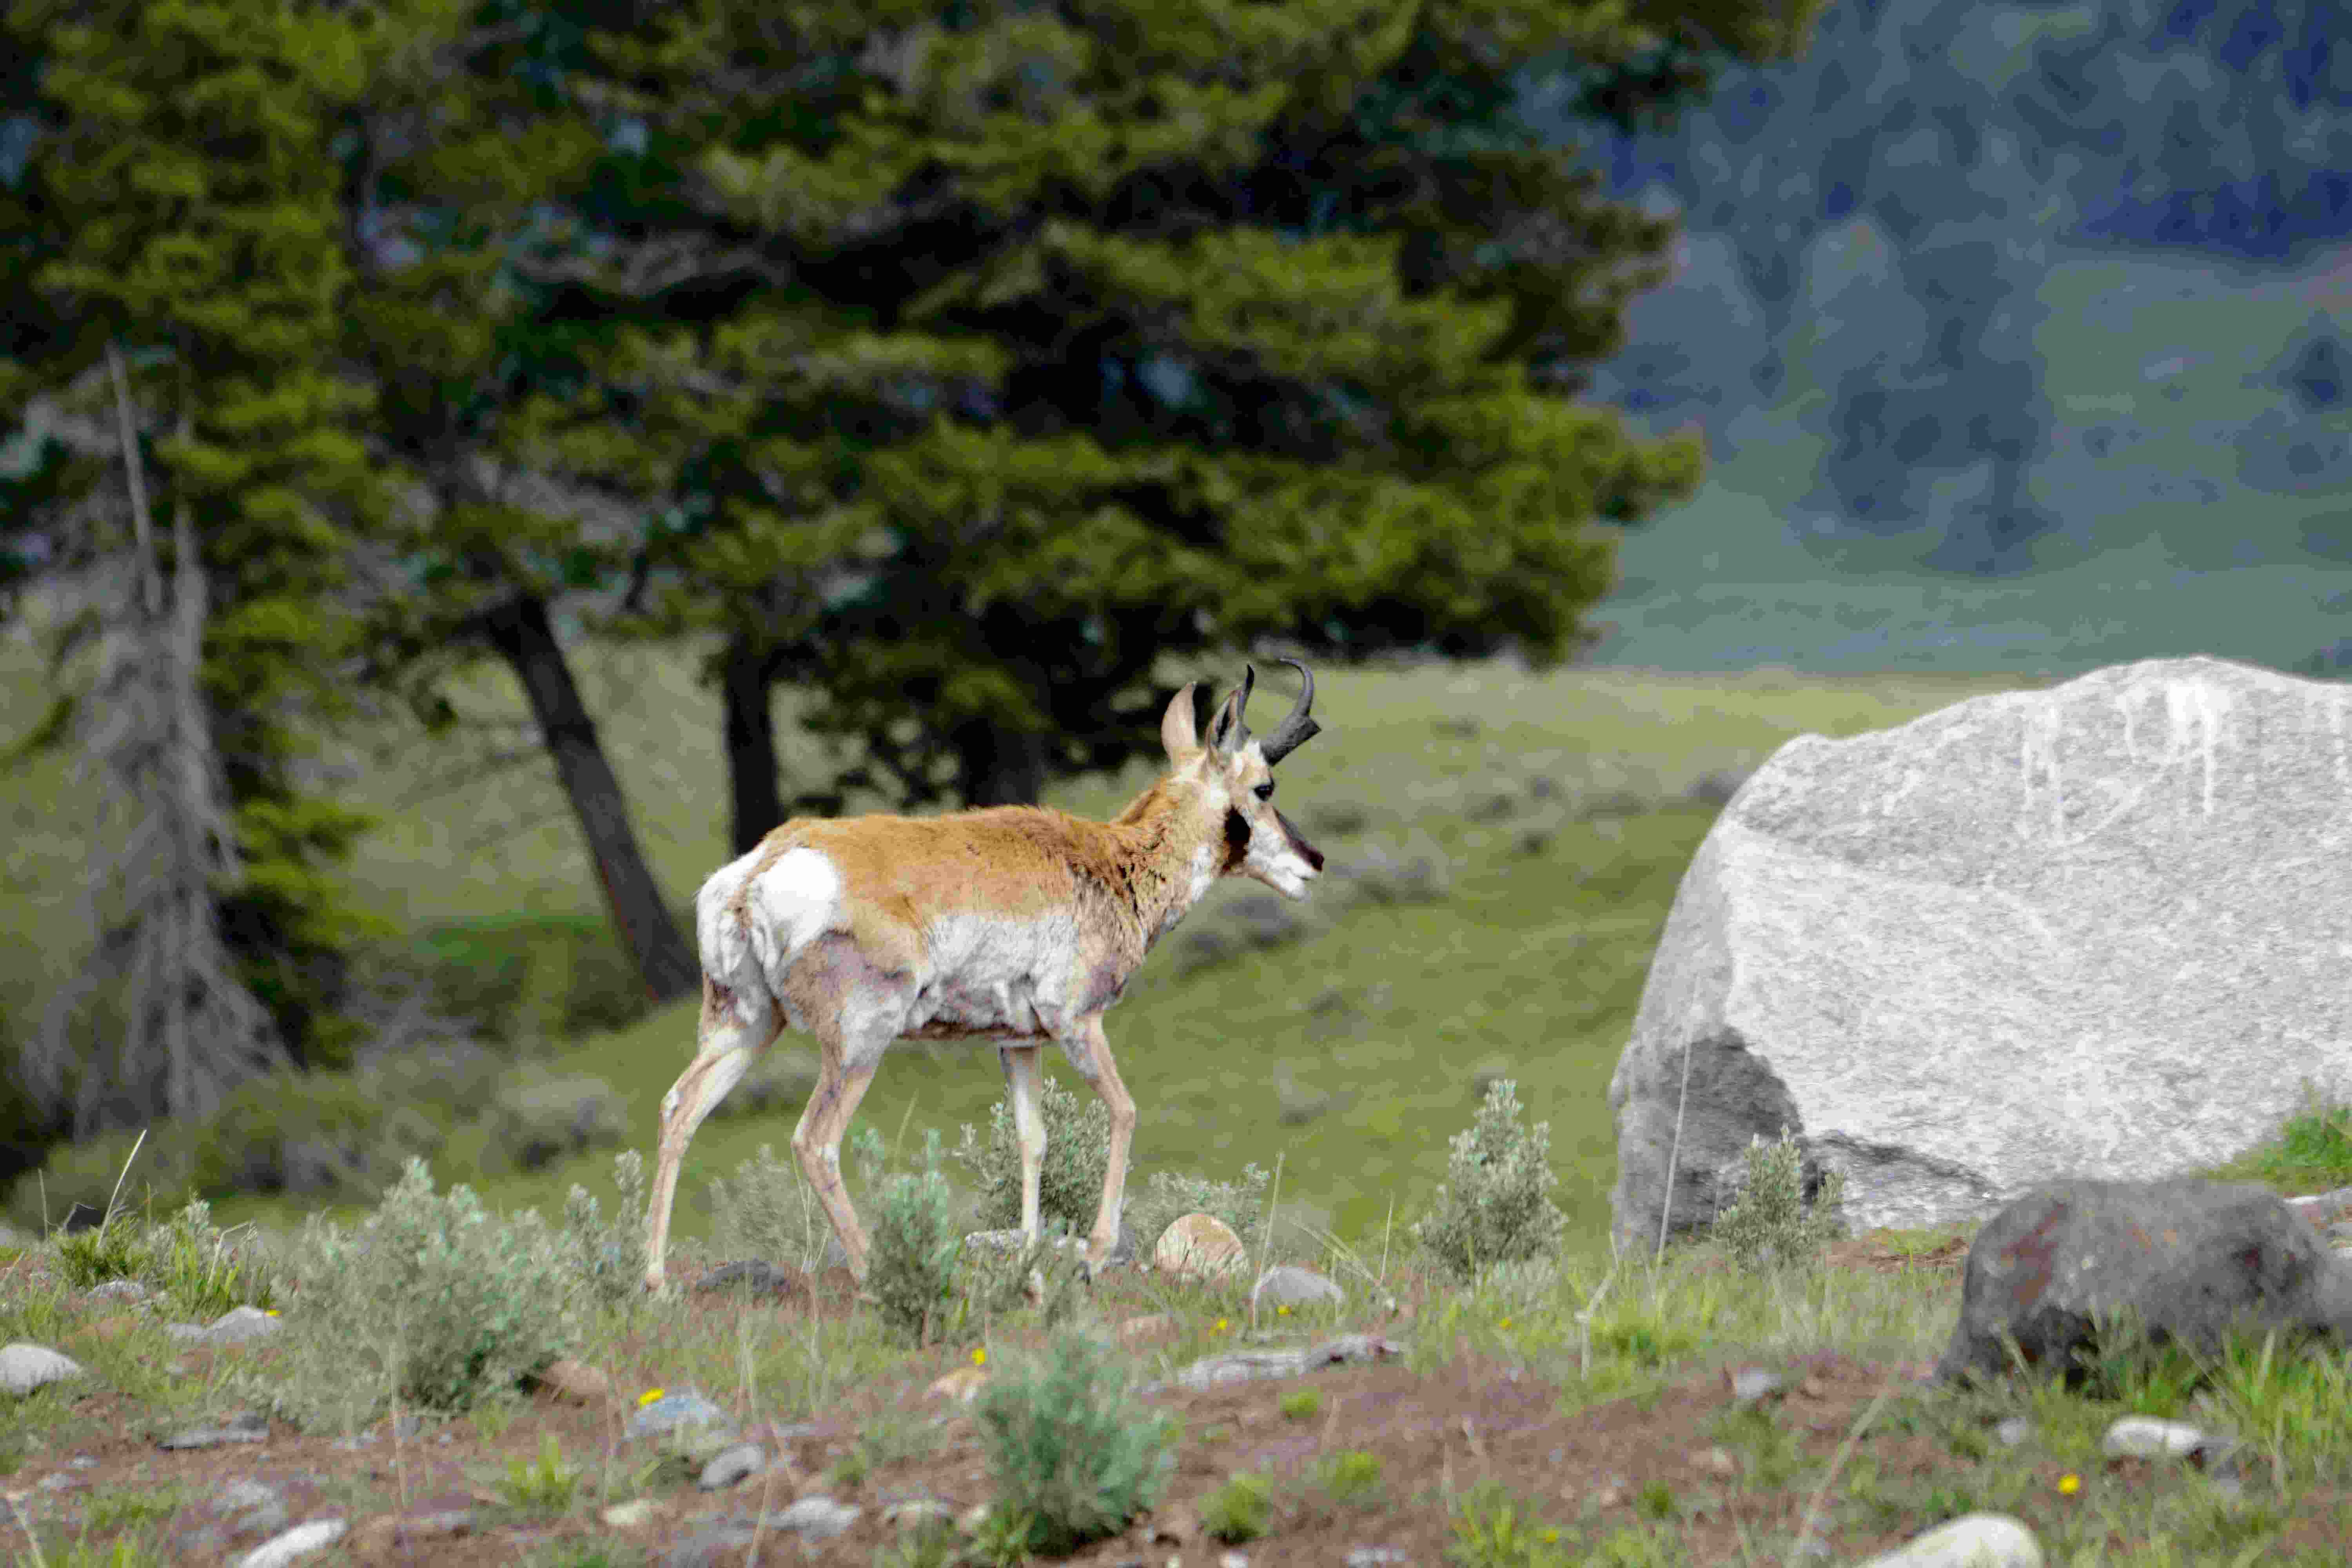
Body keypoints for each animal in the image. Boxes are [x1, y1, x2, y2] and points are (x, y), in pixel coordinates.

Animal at [644, 663, 1336, 1288]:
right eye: (1266, 787)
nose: (1315, 861)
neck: (1113, 862)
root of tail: (762, 867)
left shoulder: (1018, 1043)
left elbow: (1034, 1140)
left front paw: (1029, 1265)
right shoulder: (1078, 1024)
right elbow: (1125, 1111)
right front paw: (1093, 1256)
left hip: (748, 1025)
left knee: (682, 1106)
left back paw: (653, 1280)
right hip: (857, 1044)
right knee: (813, 1142)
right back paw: (872, 1270)